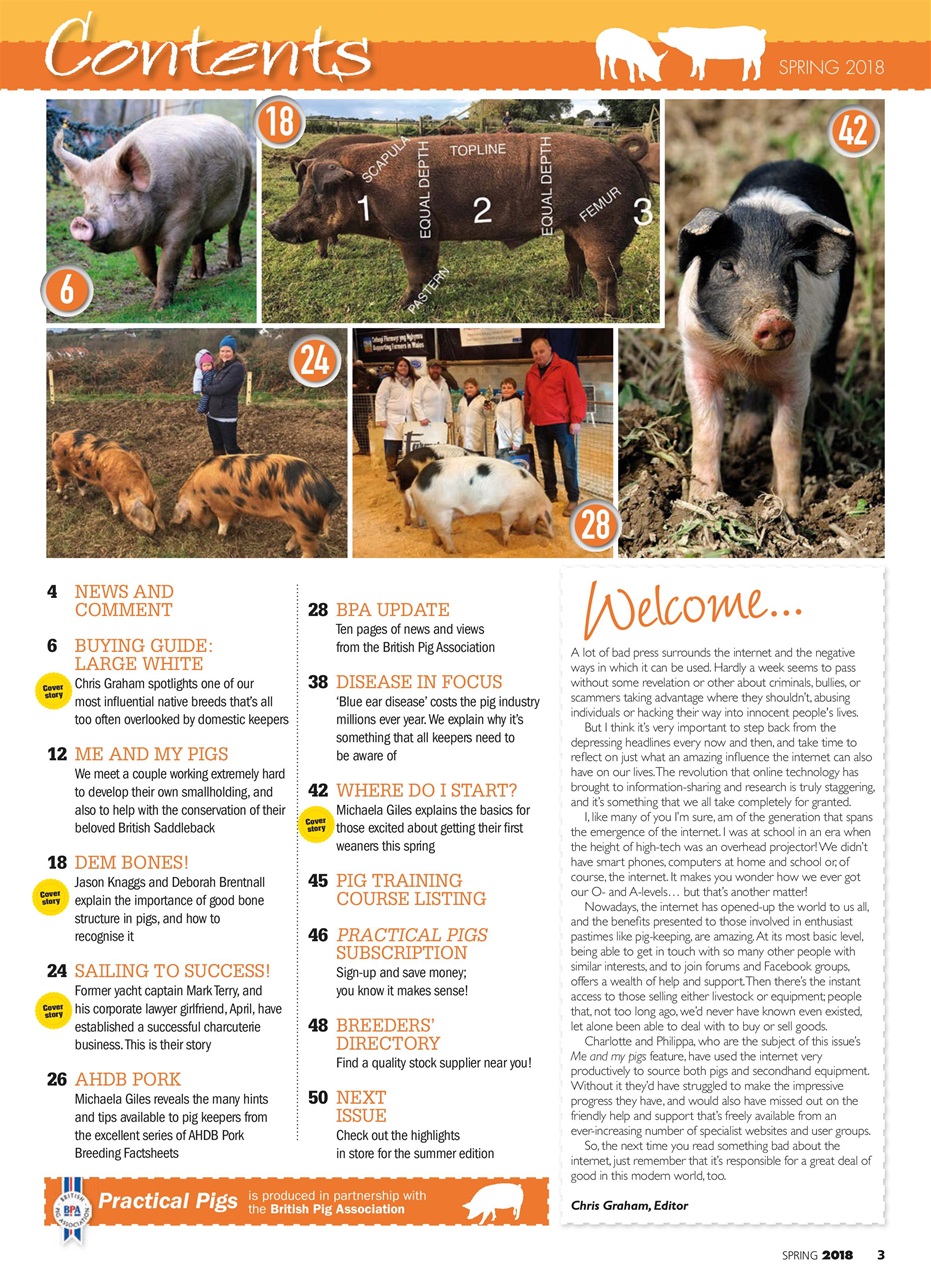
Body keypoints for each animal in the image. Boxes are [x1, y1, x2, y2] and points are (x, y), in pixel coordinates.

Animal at [53, 115, 253, 309]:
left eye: (117, 196)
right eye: (86, 196)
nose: (82, 220)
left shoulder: (185, 221)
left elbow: (168, 265)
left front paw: (157, 308)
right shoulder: (137, 233)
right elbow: (147, 266)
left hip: (247, 183)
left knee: (234, 229)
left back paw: (235, 264)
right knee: (200, 242)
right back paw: (195, 276)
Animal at [171, 454, 341, 558]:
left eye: (186, 517)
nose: (185, 529)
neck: (198, 492)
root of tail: (331, 492)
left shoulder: (221, 506)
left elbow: (223, 522)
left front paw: (219, 536)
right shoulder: (235, 505)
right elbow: (237, 518)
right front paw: (237, 528)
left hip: (305, 522)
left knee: (311, 549)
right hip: (298, 522)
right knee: (297, 537)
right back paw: (285, 549)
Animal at [267, 133, 652, 316]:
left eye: (316, 193)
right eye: (303, 190)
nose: (273, 227)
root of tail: (624, 154)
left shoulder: (412, 232)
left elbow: (415, 272)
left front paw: (399, 307)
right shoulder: (429, 235)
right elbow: (429, 270)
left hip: (599, 227)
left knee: (607, 273)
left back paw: (601, 313)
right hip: (573, 226)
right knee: (577, 262)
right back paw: (567, 295)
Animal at [409, 456, 554, 554]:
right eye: (537, 519)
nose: (531, 533)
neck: (530, 500)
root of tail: (414, 486)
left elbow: (502, 523)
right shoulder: (510, 508)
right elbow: (506, 525)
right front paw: (507, 544)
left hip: (433, 514)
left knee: (433, 529)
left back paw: (437, 544)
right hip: (441, 512)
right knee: (444, 534)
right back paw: (455, 552)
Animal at [677, 160, 856, 518]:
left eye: (787, 270)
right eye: (726, 265)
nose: (774, 319)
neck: (742, 354)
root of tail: (797, 162)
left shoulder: (797, 368)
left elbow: (784, 439)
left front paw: (790, 511)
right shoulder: (696, 356)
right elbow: (707, 431)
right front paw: (702, 503)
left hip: (841, 310)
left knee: (828, 358)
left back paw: (824, 408)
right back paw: (742, 440)